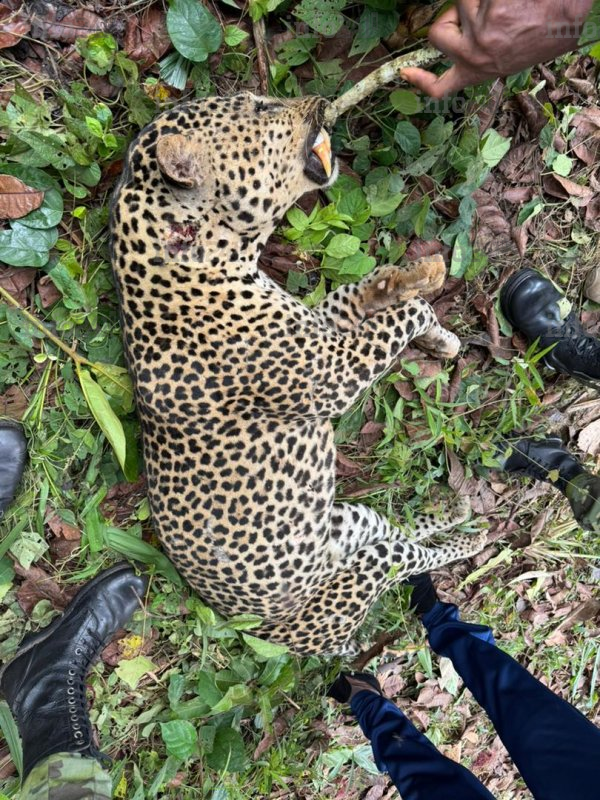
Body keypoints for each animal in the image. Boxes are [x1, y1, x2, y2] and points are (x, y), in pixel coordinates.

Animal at [110, 92, 487, 656]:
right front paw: (432, 323)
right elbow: (396, 320)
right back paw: (470, 536)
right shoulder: (330, 373)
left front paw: (413, 288)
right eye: (261, 110)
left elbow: (362, 299)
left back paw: (454, 510)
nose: (320, 102)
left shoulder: (323, 328)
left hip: (347, 522)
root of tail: (271, 636)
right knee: (408, 553)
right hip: (360, 571)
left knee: (400, 528)